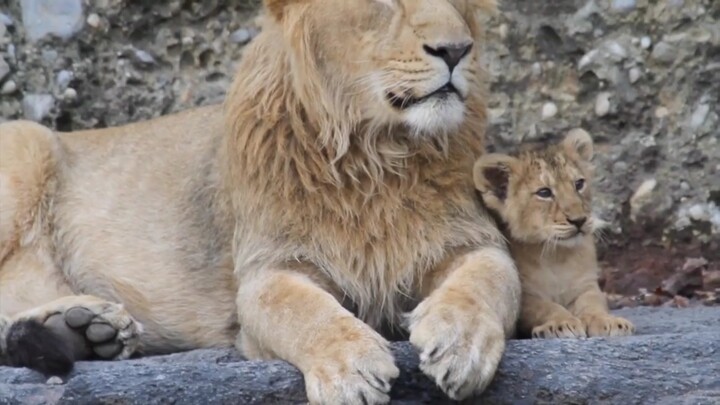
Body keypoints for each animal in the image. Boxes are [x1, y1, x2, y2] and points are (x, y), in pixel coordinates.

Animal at [0, 0, 516, 400]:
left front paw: (459, 344)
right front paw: (351, 369)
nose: (456, 49)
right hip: (26, 142)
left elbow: (489, 280)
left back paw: (85, 328)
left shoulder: (470, 240)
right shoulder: (268, 267)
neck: (378, 155)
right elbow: (299, 311)